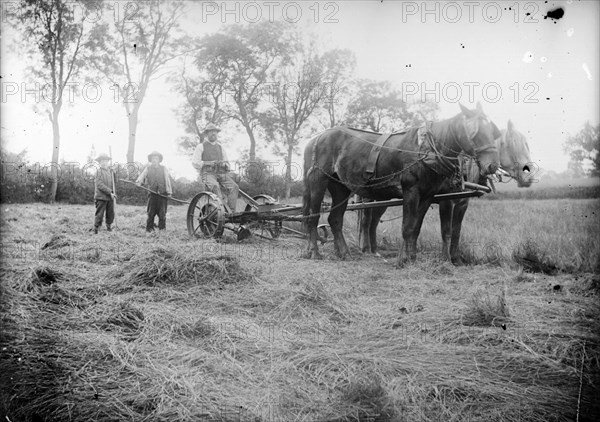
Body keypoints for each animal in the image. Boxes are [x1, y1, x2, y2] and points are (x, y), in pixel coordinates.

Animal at [302, 102, 500, 266]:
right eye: (476, 132)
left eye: (492, 131)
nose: (492, 165)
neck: (428, 151)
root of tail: (316, 139)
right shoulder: (414, 192)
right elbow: (409, 227)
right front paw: (403, 260)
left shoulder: (428, 196)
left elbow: (417, 227)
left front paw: (413, 258)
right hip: (319, 181)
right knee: (314, 217)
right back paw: (314, 252)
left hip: (341, 187)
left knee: (336, 219)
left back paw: (344, 253)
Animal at [356, 119, 528, 264]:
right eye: (510, 144)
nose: (528, 174)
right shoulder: (447, 201)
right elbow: (446, 230)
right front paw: (445, 260)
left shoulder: (462, 203)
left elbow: (456, 231)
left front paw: (456, 259)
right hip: (372, 196)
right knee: (367, 221)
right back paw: (367, 250)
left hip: (382, 197)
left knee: (373, 221)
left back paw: (374, 250)